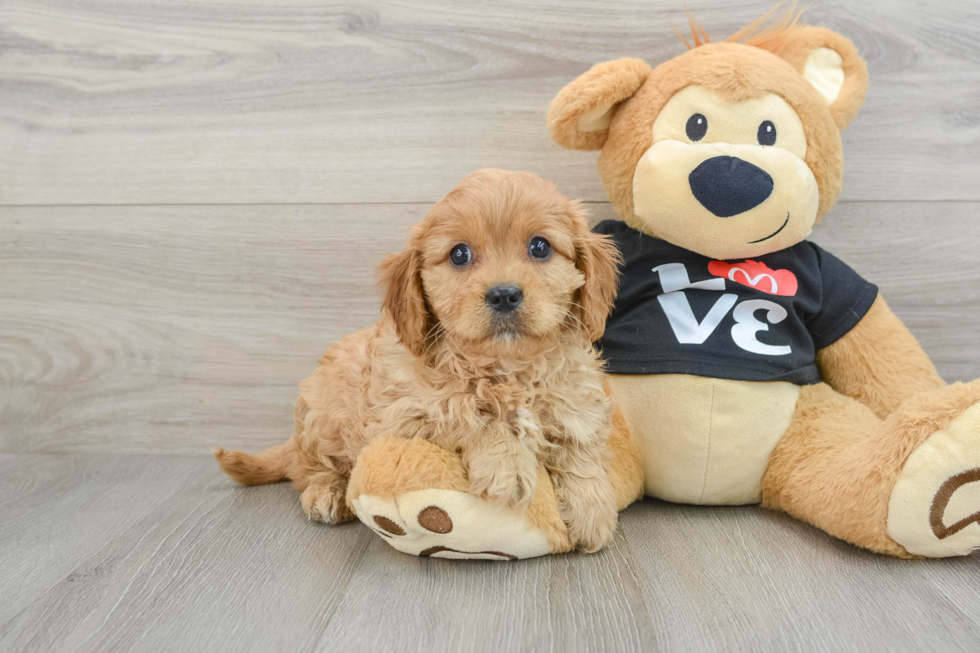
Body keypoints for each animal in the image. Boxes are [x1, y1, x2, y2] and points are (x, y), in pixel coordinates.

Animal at [218, 168, 624, 552]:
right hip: (323, 414)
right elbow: (469, 416)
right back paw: (326, 491)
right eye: (459, 254)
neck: (504, 367)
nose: (504, 294)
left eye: (540, 247)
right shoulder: (400, 416)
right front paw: (507, 463)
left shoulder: (577, 400)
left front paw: (593, 509)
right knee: (305, 466)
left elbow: (581, 446)